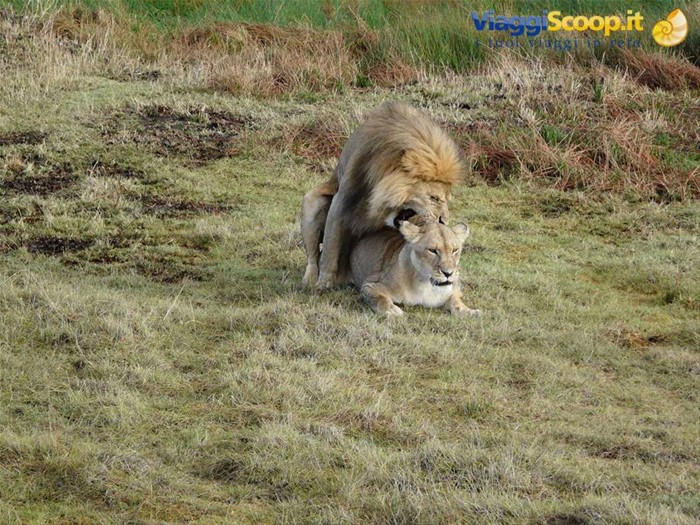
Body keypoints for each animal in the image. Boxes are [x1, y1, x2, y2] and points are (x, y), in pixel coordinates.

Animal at [301, 101, 464, 289]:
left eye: (447, 200)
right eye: (434, 198)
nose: (443, 221)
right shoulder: (341, 203)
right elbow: (330, 249)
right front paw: (324, 283)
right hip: (312, 202)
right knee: (313, 258)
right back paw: (309, 281)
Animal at [350, 220, 481, 317]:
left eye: (455, 250)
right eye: (432, 250)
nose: (448, 273)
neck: (426, 285)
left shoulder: (455, 291)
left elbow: (456, 301)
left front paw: (470, 312)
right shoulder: (370, 284)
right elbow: (380, 298)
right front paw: (392, 311)